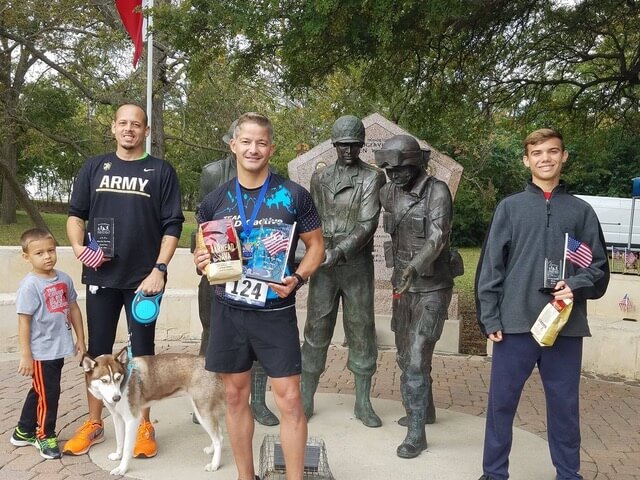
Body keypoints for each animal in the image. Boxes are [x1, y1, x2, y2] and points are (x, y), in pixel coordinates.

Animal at [82, 346, 225, 474]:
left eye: (118, 378)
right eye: (104, 380)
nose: (117, 398)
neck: (124, 382)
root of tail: (208, 364)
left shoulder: (132, 420)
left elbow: (127, 447)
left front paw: (122, 468)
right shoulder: (117, 417)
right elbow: (119, 440)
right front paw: (118, 455)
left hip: (202, 412)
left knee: (218, 439)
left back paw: (215, 464)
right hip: (206, 411)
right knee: (219, 434)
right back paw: (211, 450)